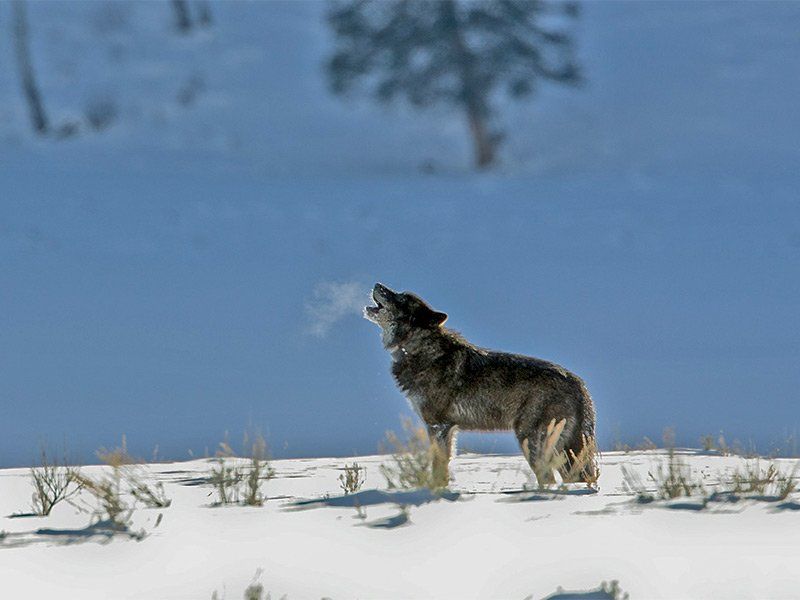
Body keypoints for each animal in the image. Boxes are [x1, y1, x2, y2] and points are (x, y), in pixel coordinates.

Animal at [365, 283, 596, 485]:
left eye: (401, 298)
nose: (377, 284)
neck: (417, 348)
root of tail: (580, 385)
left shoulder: (437, 426)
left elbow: (438, 467)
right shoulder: (449, 429)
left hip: (530, 441)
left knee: (548, 479)